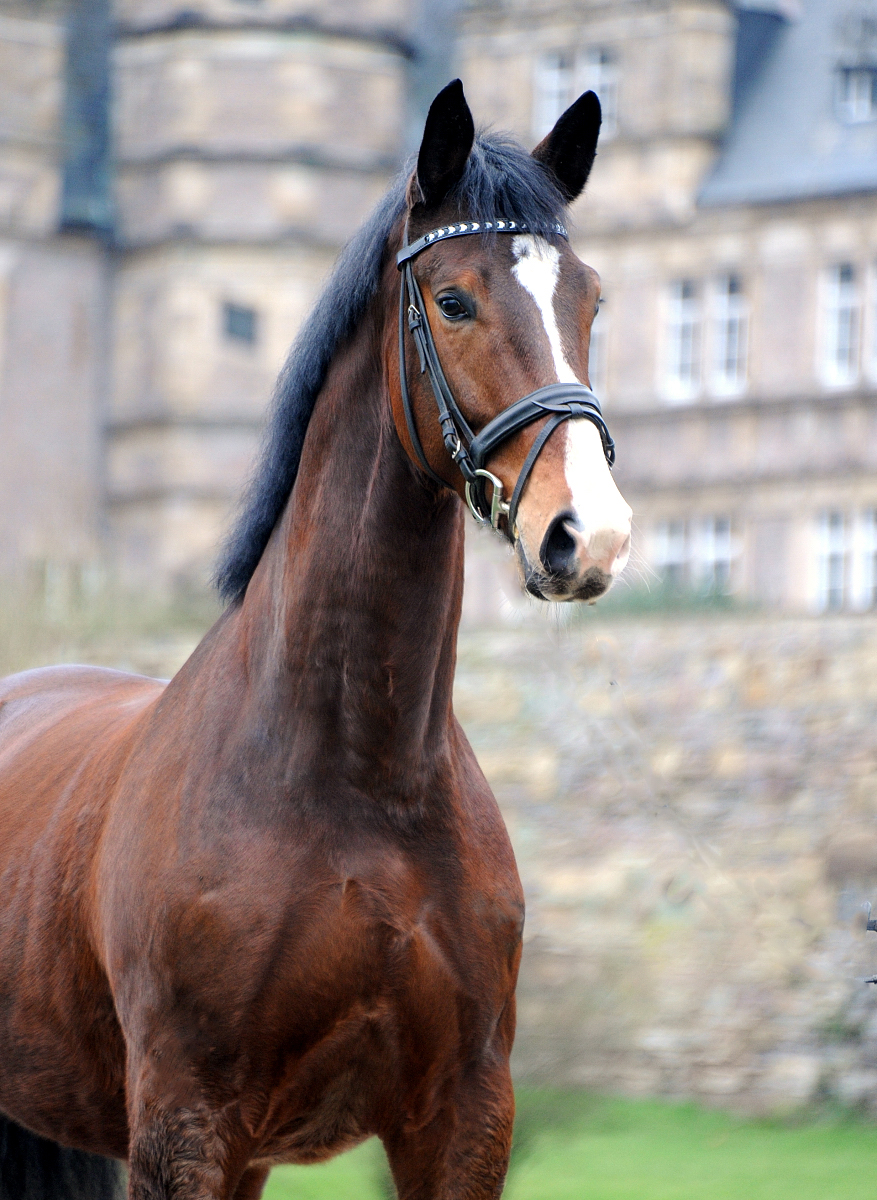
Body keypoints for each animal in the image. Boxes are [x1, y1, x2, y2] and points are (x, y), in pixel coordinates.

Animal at [0, 84, 633, 1200]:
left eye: (588, 300)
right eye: (453, 301)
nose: (585, 535)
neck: (356, 776)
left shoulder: (461, 1122)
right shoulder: (184, 1130)